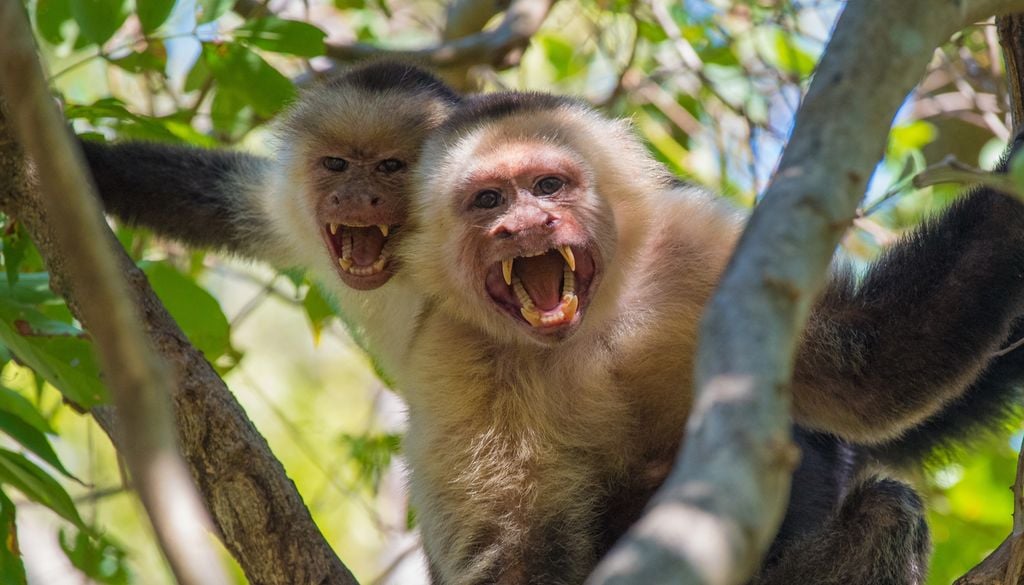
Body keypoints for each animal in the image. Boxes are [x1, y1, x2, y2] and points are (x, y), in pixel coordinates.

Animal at [392, 91, 1024, 584]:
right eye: (489, 200)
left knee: (885, 509)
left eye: (548, 186)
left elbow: (869, 362)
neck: (590, 329)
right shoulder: (450, 362)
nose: (521, 226)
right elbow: (511, 555)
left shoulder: (699, 246)